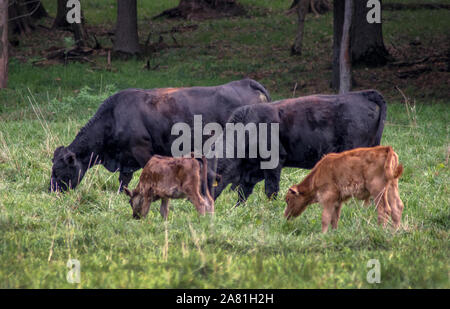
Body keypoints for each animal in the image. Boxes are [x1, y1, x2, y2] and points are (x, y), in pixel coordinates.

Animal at [51, 78, 272, 191]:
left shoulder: (142, 152)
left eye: (59, 170)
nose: (51, 190)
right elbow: (123, 181)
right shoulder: (126, 159)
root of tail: (246, 82)